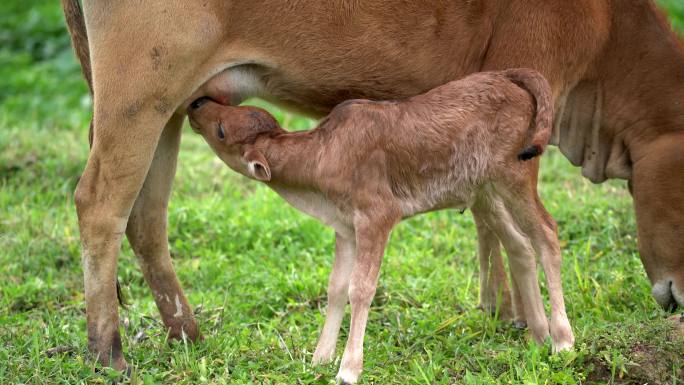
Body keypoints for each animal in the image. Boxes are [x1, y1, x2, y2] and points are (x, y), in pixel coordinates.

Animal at [186, 70, 572, 384]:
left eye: (222, 130)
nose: (197, 102)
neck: (322, 157)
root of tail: (509, 78)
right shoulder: (345, 228)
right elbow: (336, 287)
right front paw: (319, 358)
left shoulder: (377, 217)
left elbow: (361, 289)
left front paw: (348, 369)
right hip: (484, 192)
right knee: (520, 245)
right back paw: (539, 335)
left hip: (515, 177)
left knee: (546, 234)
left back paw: (563, 340)